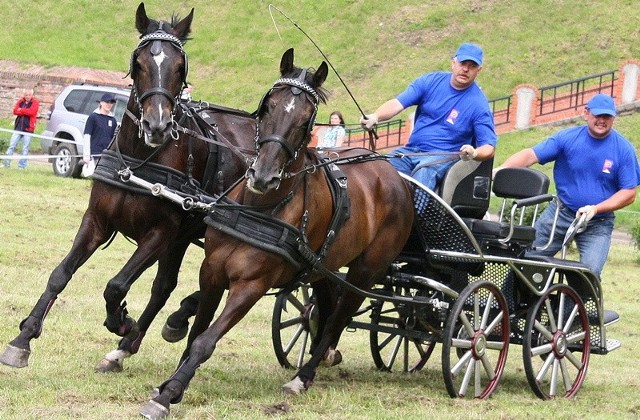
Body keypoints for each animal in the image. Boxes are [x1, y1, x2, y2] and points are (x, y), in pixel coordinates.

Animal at [0, 2, 255, 370]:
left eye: (180, 67)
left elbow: (116, 285)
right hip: (183, 238)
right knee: (165, 286)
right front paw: (23, 338)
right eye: (139, 63)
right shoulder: (97, 220)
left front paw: (121, 320)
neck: (137, 159)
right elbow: (61, 273)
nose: (157, 125)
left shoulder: (160, 233)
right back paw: (135, 342)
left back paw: (155, 326)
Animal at [140, 47, 416, 418]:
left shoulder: (252, 286)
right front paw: (170, 384)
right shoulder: (211, 271)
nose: (263, 176)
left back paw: (304, 375)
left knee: (338, 318)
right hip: (323, 264)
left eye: (306, 120)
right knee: (325, 304)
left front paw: (168, 394)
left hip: (366, 272)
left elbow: (205, 341)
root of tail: (391, 171)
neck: (260, 208)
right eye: (268, 105)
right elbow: (196, 329)